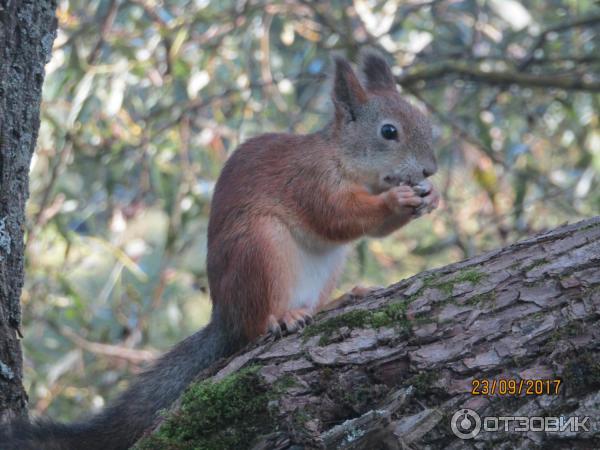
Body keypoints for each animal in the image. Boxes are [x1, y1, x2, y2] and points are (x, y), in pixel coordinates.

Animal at [2, 51, 438, 448]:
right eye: (388, 132)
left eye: (423, 118)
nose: (431, 170)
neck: (343, 159)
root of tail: (224, 316)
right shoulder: (309, 181)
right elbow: (338, 216)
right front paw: (397, 200)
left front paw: (430, 200)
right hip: (258, 248)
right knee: (253, 326)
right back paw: (280, 318)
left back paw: (341, 299)